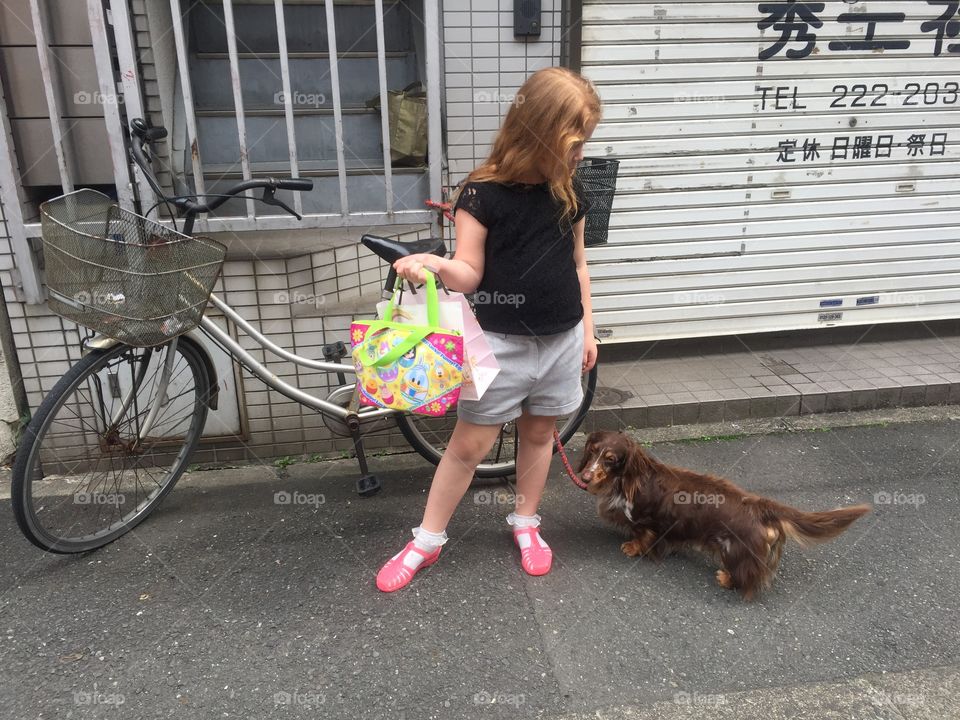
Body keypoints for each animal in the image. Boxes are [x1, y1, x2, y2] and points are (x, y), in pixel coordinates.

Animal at [576, 430, 872, 600]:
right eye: (592, 451)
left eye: (611, 459)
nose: (586, 476)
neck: (626, 480)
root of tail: (759, 506)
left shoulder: (645, 522)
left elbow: (643, 537)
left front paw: (632, 548)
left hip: (734, 550)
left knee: (747, 577)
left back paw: (725, 578)